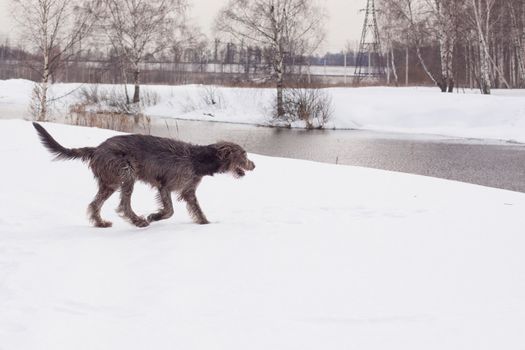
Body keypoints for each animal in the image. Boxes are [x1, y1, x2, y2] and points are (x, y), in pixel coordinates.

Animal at [31, 122, 255, 227]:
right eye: (244, 154)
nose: (254, 165)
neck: (197, 159)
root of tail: (96, 149)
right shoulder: (165, 186)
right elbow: (170, 210)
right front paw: (155, 216)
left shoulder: (188, 191)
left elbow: (197, 210)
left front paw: (206, 224)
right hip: (126, 173)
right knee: (123, 205)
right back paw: (138, 221)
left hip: (109, 183)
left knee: (94, 205)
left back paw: (101, 223)